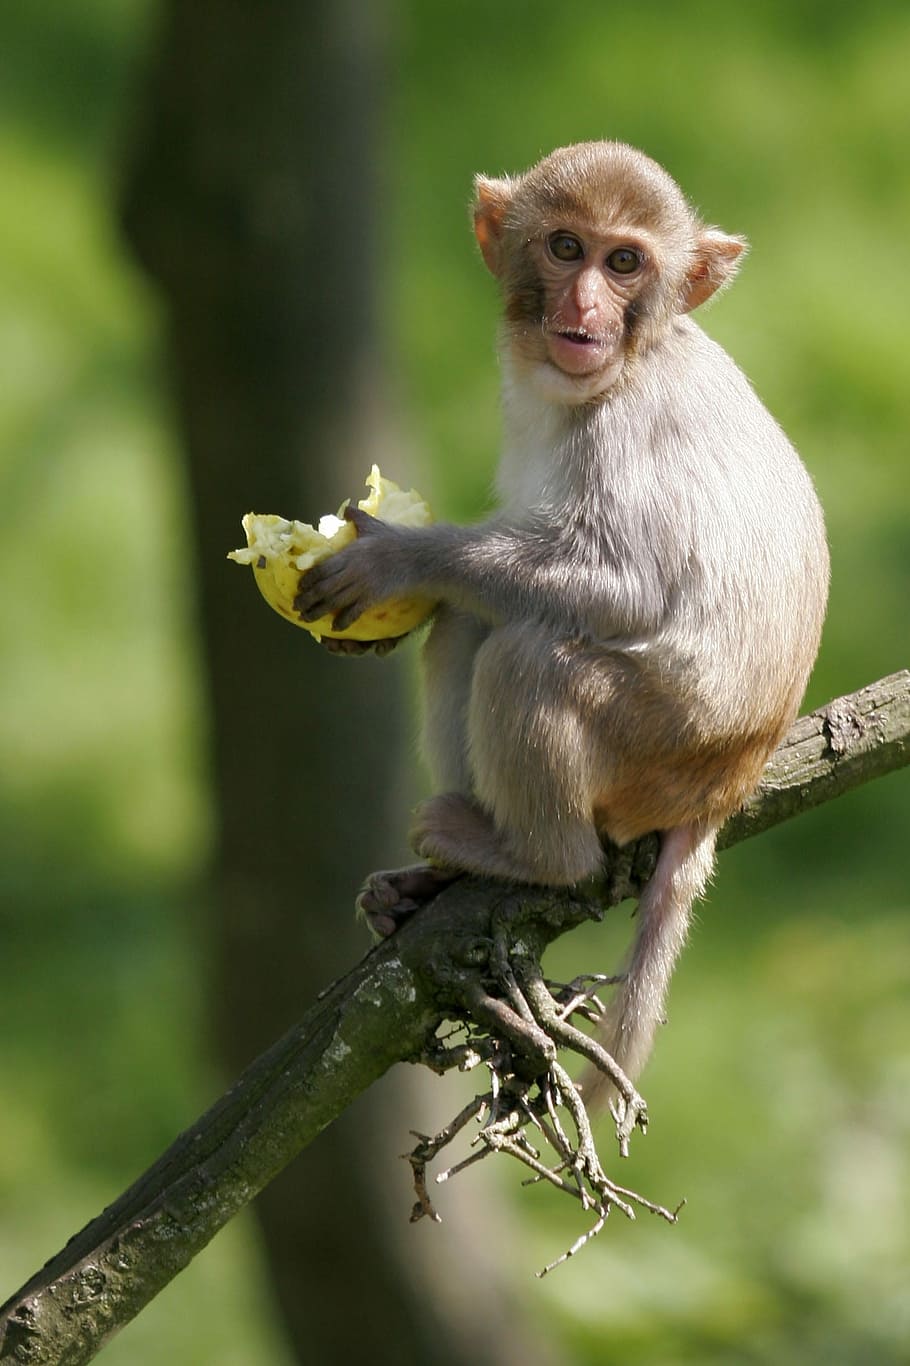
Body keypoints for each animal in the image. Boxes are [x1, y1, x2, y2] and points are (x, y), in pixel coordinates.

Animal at [293, 141, 829, 1087]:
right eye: (566, 248)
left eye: (625, 264)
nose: (583, 309)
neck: (627, 365)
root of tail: (730, 779)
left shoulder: (624, 436)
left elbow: (625, 588)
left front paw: (399, 559)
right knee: (473, 627)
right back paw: (442, 876)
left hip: (658, 744)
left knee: (527, 658)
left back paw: (540, 857)